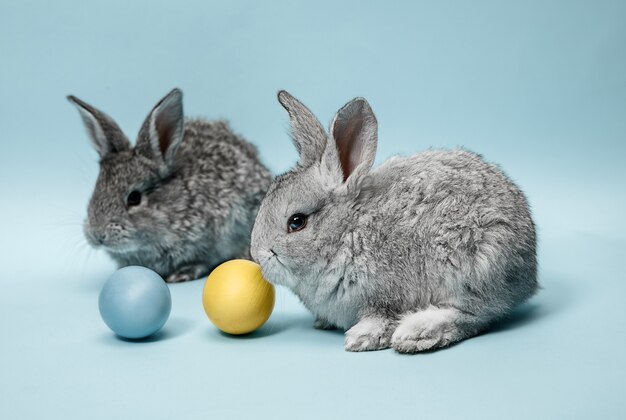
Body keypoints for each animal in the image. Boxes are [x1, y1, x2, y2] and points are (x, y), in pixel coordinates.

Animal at [249, 92, 536, 354]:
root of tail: (529, 266)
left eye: (296, 222)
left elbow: (382, 318)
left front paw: (361, 338)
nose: (257, 256)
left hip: (473, 265)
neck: (347, 234)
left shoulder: (386, 296)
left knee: (474, 314)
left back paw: (417, 333)